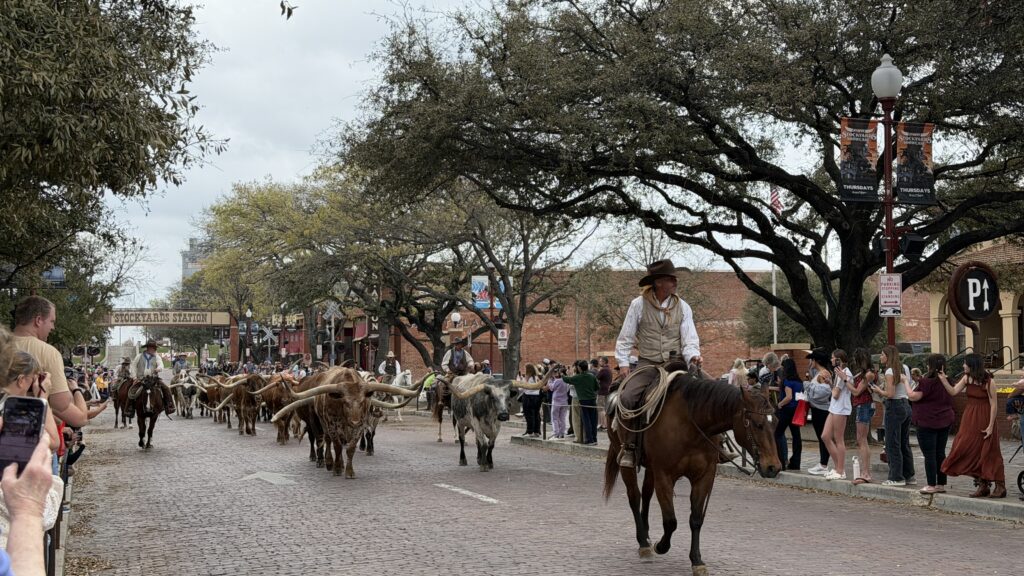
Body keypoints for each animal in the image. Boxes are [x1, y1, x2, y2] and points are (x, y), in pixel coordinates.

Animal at [272, 368, 426, 478]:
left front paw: (350, 471)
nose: (355, 421)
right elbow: (337, 446)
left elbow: (351, 448)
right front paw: (337, 468)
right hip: (321, 424)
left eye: (363, 401)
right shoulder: (332, 426)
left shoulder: (360, 427)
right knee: (324, 440)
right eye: (345, 402)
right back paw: (325, 461)